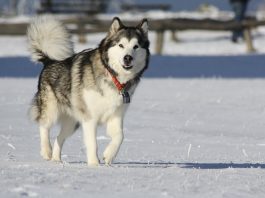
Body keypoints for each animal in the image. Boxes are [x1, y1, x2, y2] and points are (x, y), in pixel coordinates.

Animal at [27, 15, 150, 166]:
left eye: (136, 46)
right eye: (121, 45)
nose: (128, 58)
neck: (113, 76)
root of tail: (49, 61)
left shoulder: (116, 115)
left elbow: (120, 136)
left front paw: (108, 156)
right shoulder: (90, 118)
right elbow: (92, 143)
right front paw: (94, 164)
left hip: (72, 122)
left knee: (59, 137)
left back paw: (56, 159)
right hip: (51, 109)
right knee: (44, 125)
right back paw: (46, 151)